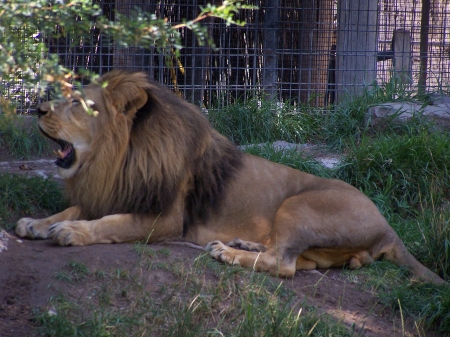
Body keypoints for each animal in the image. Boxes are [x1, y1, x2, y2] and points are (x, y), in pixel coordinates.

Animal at [15, 69, 444, 284]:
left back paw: (226, 251)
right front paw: (36, 222)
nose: (37, 109)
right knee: (295, 260)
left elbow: (108, 223)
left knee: (283, 264)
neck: (112, 159)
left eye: (77, 103)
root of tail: (388, 226)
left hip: (299, 204)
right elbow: (75, 209)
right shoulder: (109, 192)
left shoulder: (164, 218)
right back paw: (244, 244)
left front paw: (72, 233)